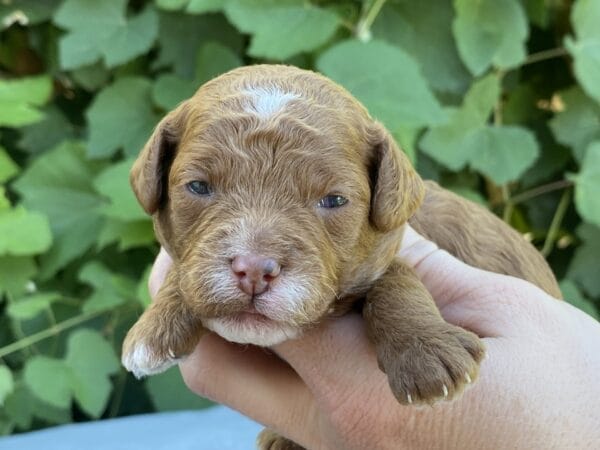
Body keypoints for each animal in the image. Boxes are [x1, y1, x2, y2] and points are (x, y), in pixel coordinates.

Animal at [119, 65, 560, 448]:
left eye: (333, 200)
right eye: (198, 186)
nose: (254, 270)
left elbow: (396, 275)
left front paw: (426, 354)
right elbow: (184, 270)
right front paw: (155, 326)